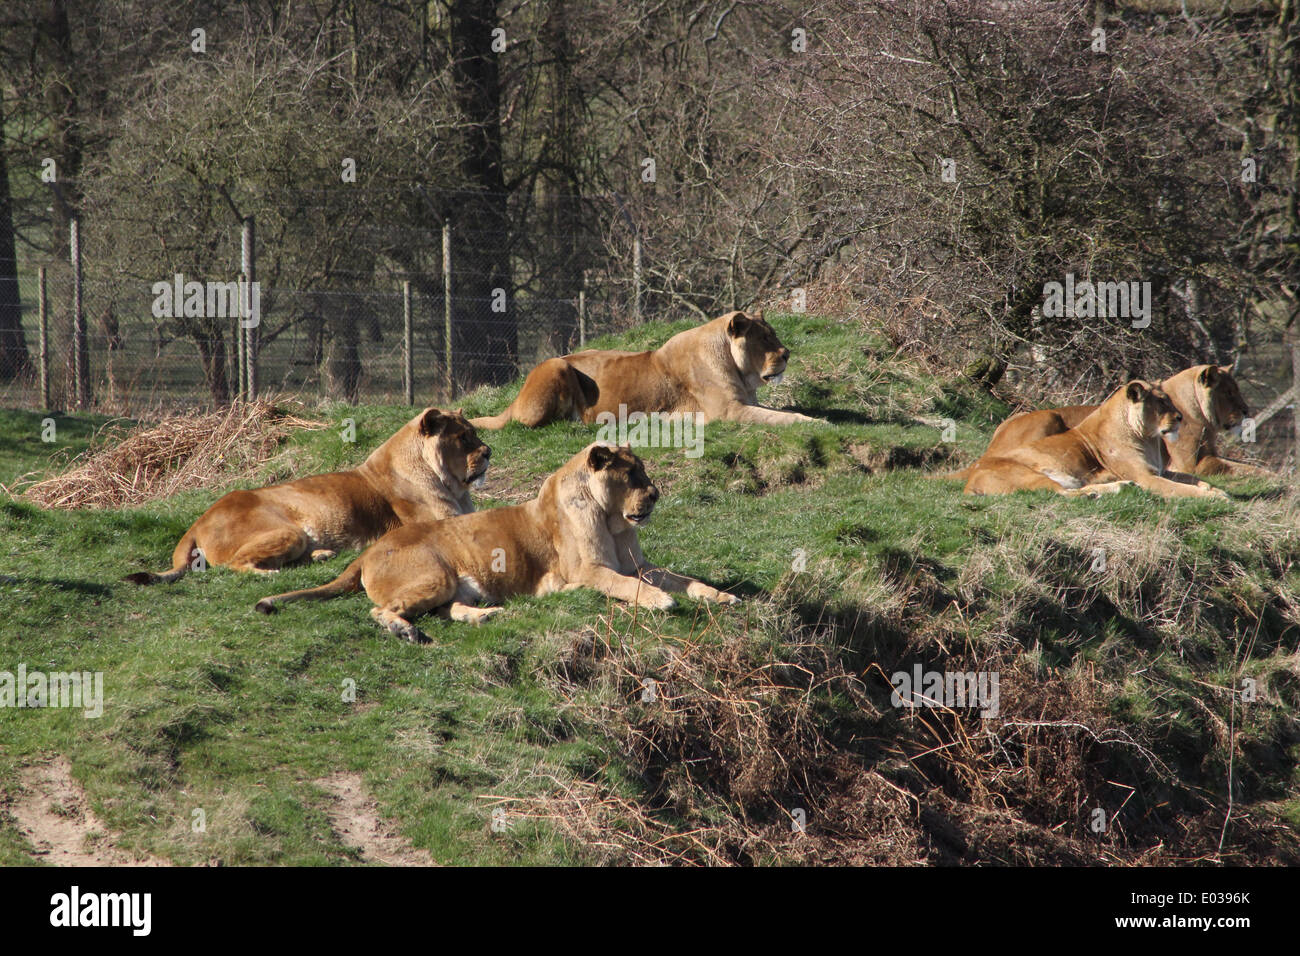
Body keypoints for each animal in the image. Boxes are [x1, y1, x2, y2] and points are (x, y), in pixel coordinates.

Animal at [125, 408, 490, 583]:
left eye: (475, 434)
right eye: (463, 437)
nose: (489, 452)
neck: (453, 486)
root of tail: (197, 522)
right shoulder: (442, 520)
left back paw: (321, 555)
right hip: (287, 532)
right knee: (233, 565)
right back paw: (271, 574)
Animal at [253, 443, 740, 642]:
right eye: (632, 473)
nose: (655, 495)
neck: (612, 518)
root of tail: (369, 551)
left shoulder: (641, 564)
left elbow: (683, 579)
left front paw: (722, 596)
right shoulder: (588, 572)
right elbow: (630, 586)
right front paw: (660, 602)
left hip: (453, 585)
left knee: (445, 609)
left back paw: (485, 617)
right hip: (433, 574)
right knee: (382, 610)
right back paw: (404, 631)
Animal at [469, 310, 820, 429]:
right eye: (765, 338)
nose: (787, 354)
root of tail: (514, 400)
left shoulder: (746, 404)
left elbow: (780, 411)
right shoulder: (731, 412)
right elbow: (783, 418)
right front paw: (817, 422)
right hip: (556, 364)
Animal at [945, 365, 1270, 482]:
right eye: (1229, 391)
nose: (1246, 410)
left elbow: (1243, 465)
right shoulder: (1189, 464)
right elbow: (1241, 468)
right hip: (1049, 417)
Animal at [962, 380, 1229, 498]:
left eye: (1170, 400)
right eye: (1162, 403)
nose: (1180, 417)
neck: (1148, 438)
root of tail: (970, 482)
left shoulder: (1159, 470)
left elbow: (1190, 478)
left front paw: (1211, 487)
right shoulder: (1146, 477)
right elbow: (1181, 489)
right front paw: (1216, 496)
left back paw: (1117, 487)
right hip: (1029, 475)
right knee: (1062, 494)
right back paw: (1114, 488)